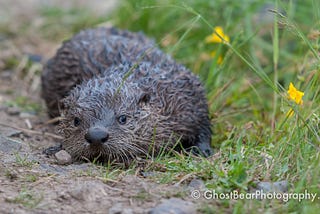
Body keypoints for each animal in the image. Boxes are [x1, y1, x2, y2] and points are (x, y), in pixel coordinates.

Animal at [42, 26, 212, 164]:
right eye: (76, 121)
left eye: (123, 118)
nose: (96, 135)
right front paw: (57, 147)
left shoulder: (189, 94)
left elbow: (203, 124)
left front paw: (202, 150)